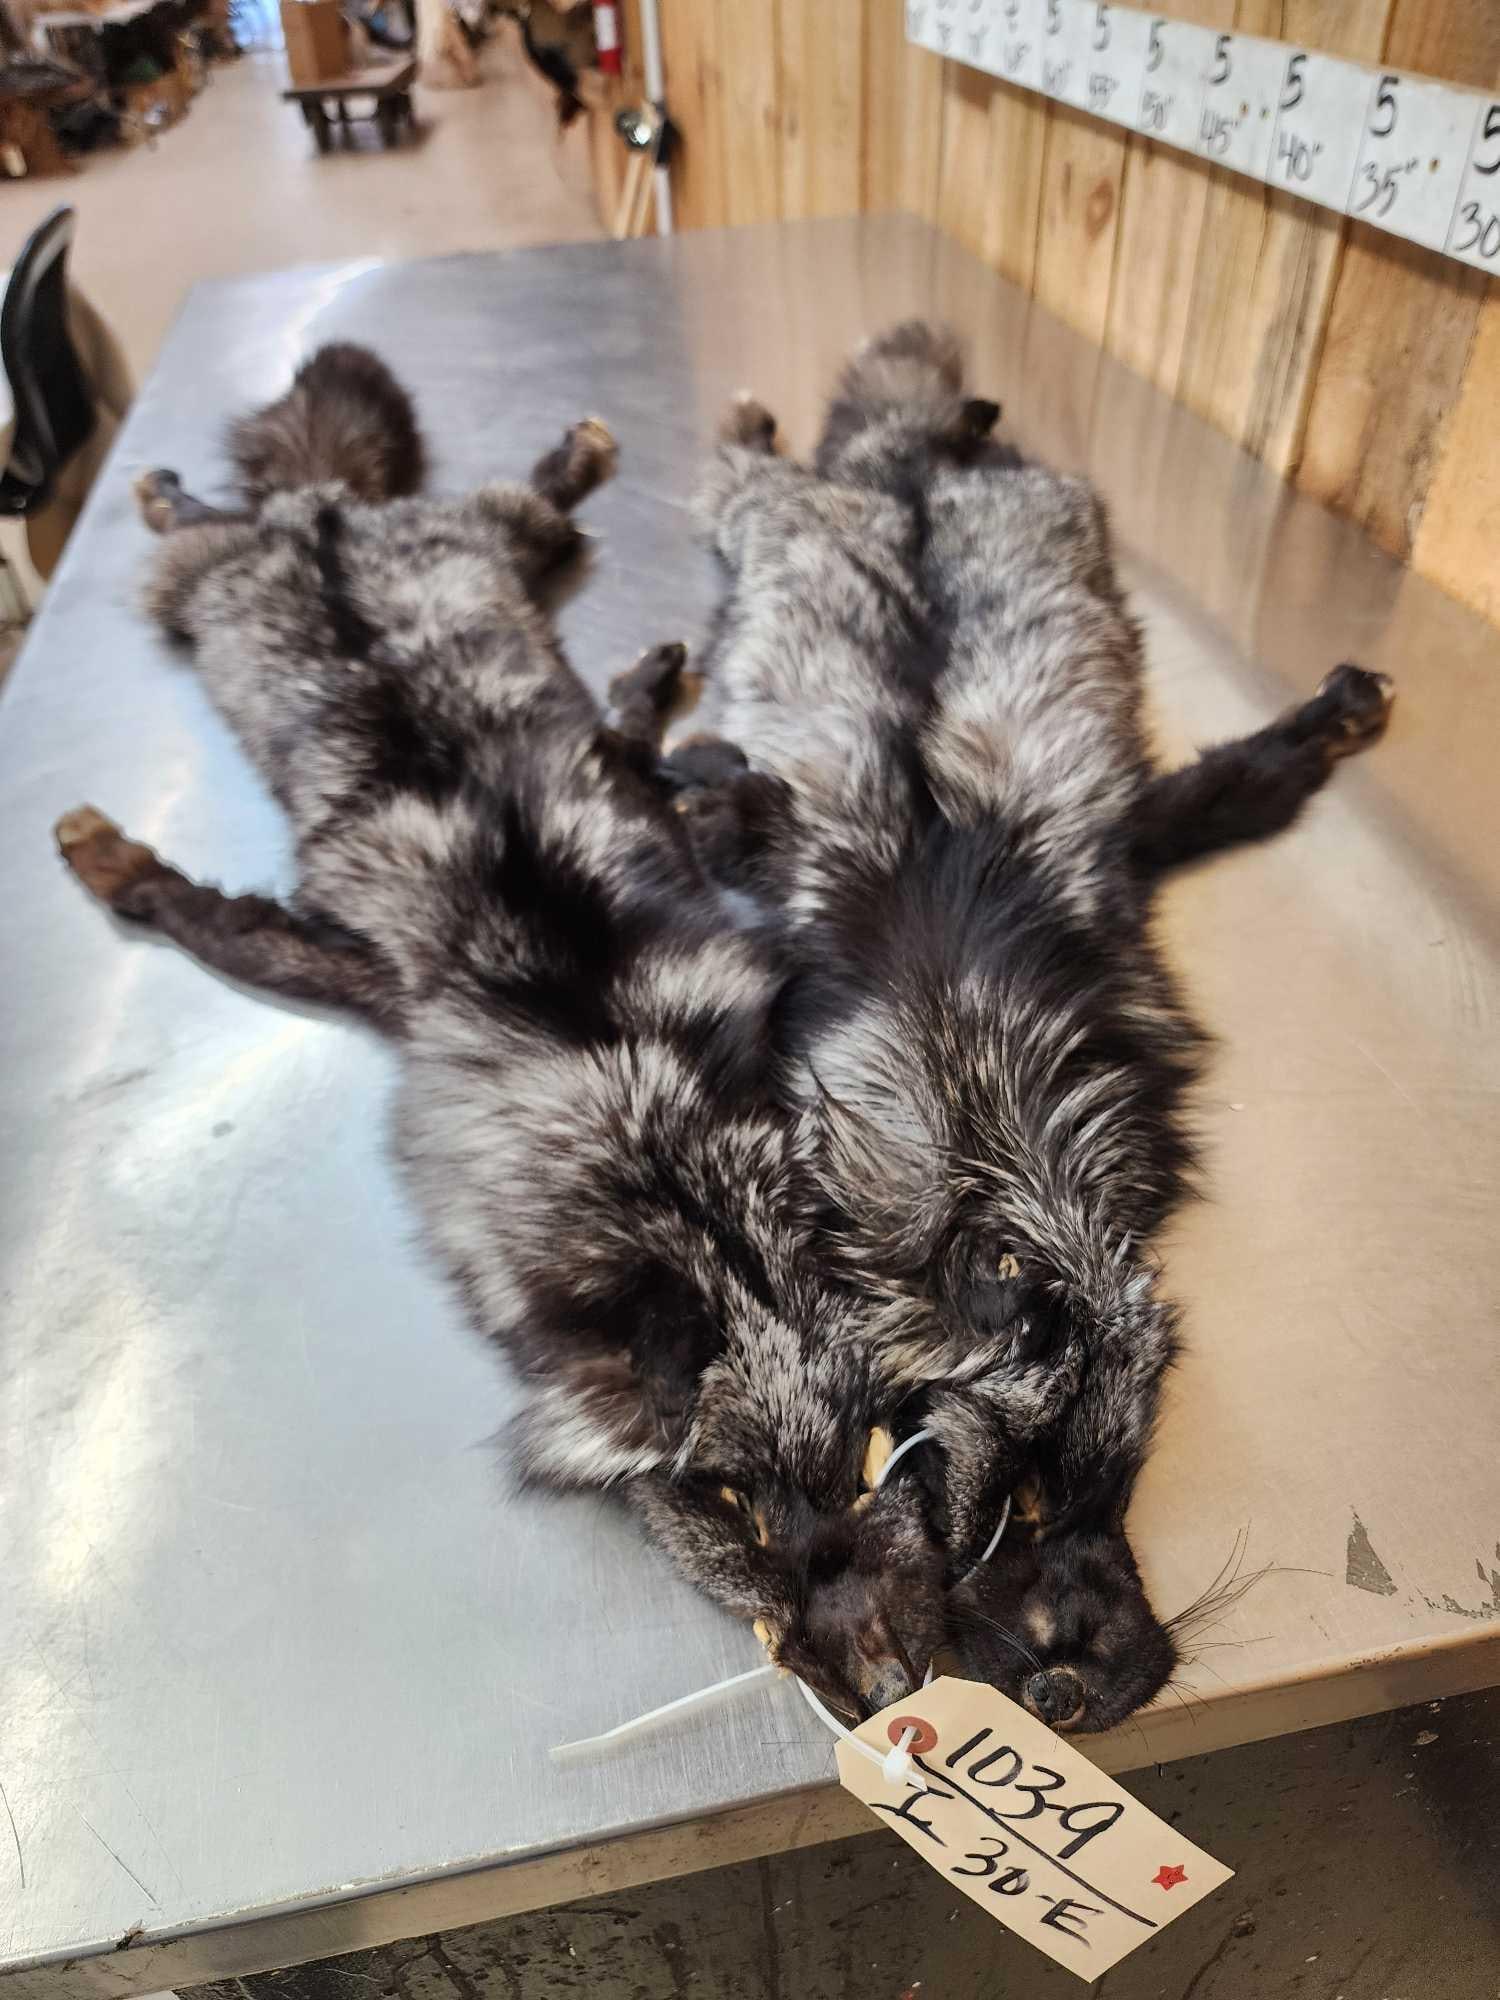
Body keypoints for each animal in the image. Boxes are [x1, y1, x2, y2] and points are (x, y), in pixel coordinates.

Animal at [52, 343, 953, 1722]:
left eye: (871, 1456)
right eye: (727, 1502)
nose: (894, 1688)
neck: (644, 1121)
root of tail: (325, 518)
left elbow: (635, 760)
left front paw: (643, 700)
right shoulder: (374, 974)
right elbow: (205, 918)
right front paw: (117, 864)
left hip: (485, 539)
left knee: (500, 506)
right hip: (237, 577)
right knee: (211, 519)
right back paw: (172, 487)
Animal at [665, 323, 1395, 1730]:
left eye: (1094, 1477)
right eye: (1004, 1507)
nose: (1067, 1684)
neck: (978, 1146)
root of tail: (896, 491)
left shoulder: (1120, 844)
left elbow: (1239, 780)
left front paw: (1326, 717)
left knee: (893, 446)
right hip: (777, 521)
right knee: (767, 467)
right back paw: (780, 423)